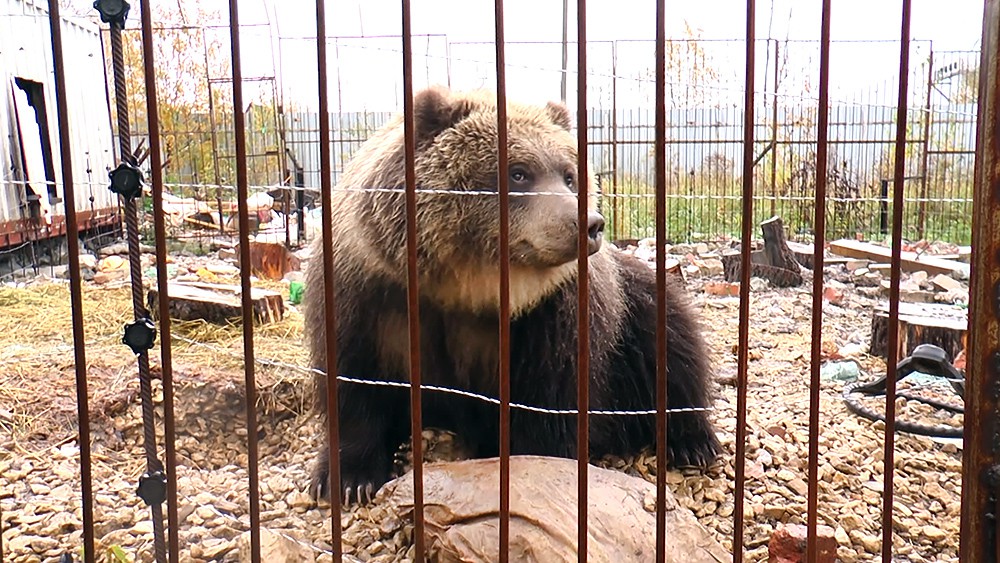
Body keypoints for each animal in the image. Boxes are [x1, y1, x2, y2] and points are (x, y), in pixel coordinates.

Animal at [304, 85, 720, 502]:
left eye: (570, 176)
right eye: (519, 173)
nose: (589, 224)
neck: (462, 285)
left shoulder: (554, 314)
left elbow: (549, 399)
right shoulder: (367, 292)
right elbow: (353, 381)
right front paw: (348, 479)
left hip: (634, 313)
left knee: (670, 341)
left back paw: (692, 443)